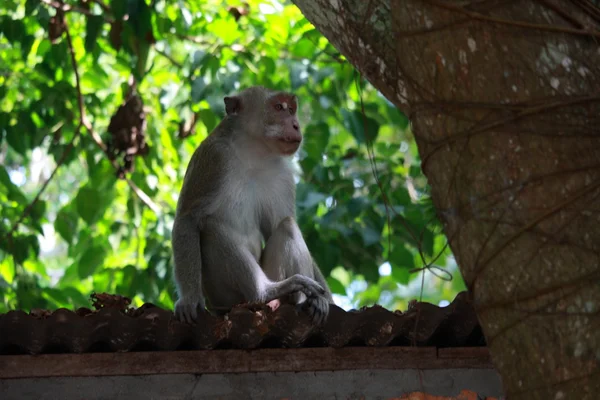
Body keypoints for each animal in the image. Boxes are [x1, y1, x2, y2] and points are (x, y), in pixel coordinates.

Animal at [172, 85, 332, 324]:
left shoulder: (282, 176)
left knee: (287, 225)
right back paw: (264, 291)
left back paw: (301, 299)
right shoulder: (214, 158)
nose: (296, 125)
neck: (254, 153)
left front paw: (326, 299)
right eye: (279, 107)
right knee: (211, 227)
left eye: (291, 109)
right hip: (224, 298)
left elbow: (276, 226)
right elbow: (188, 218)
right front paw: (190, 299)